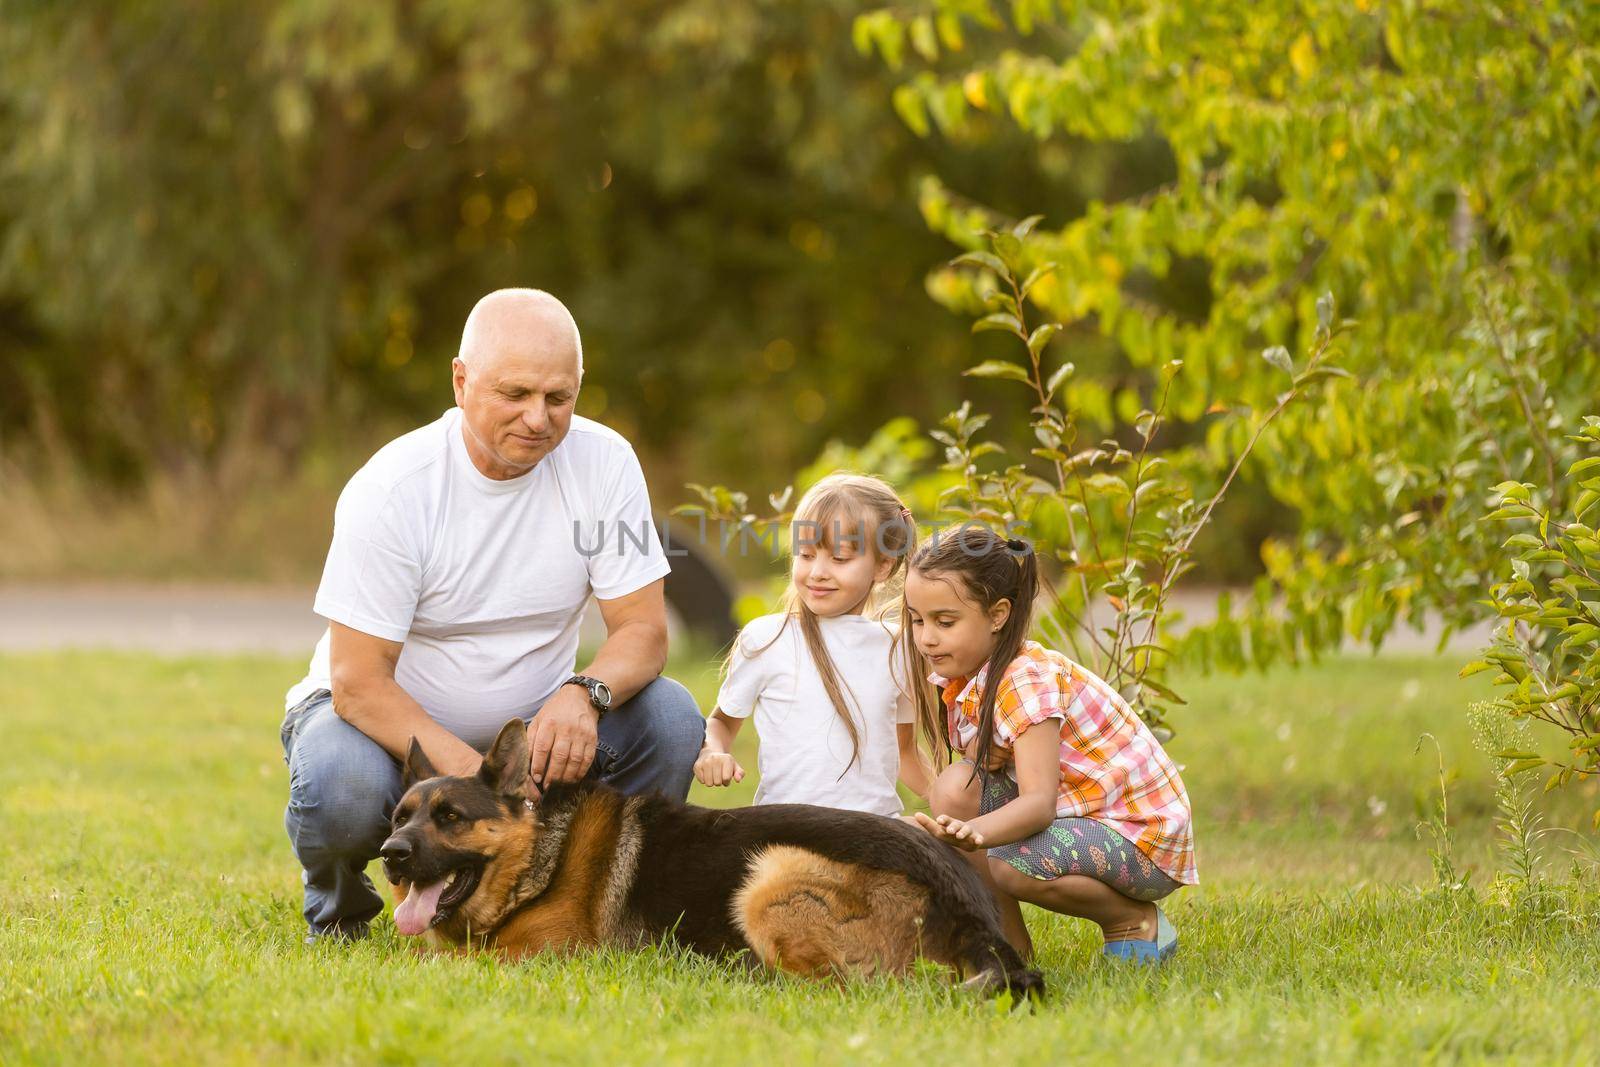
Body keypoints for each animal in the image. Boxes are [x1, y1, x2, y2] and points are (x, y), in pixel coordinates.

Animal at [380, 716, 1043, 1004]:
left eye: (450, 817)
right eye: (399, 818)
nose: (390, 856)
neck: (537, 858)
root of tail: (963, 897)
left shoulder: (538, 955)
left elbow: (436, 960)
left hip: (767, 875)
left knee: (844, 989)